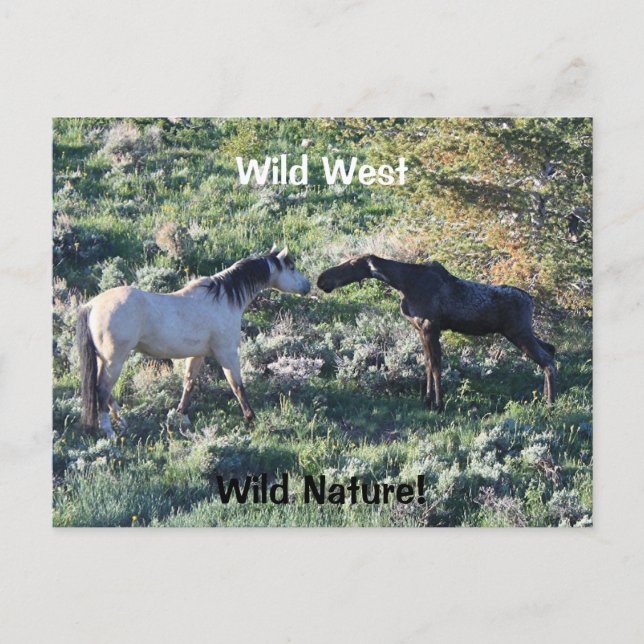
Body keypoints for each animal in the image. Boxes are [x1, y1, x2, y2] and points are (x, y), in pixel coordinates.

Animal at [77, 246, 311, 437]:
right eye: (291, 267)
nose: (307, 286)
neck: (224, 298)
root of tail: (92, 305)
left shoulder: (198, 355)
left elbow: (188, 383)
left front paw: (183, 417)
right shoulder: (227, 353)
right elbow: (237, 386)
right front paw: (251, 418)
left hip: (105, 360)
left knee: (104, 392)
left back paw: (122, 421)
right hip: (114, 360)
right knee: (102, 390)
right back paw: (110, 432)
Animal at [317, 255, 556, 410]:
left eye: (352, 263)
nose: (321, 279)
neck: (403, 283)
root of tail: (531, 301)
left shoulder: (431, 327)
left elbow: (436, 366)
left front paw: (438, 404)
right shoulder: (421, 330)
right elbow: (428, 363)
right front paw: (427, 399)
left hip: (518, 332)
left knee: (548, 362)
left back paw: (550, 404)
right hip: (522, 332)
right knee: (551, 350)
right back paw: (545, 397)